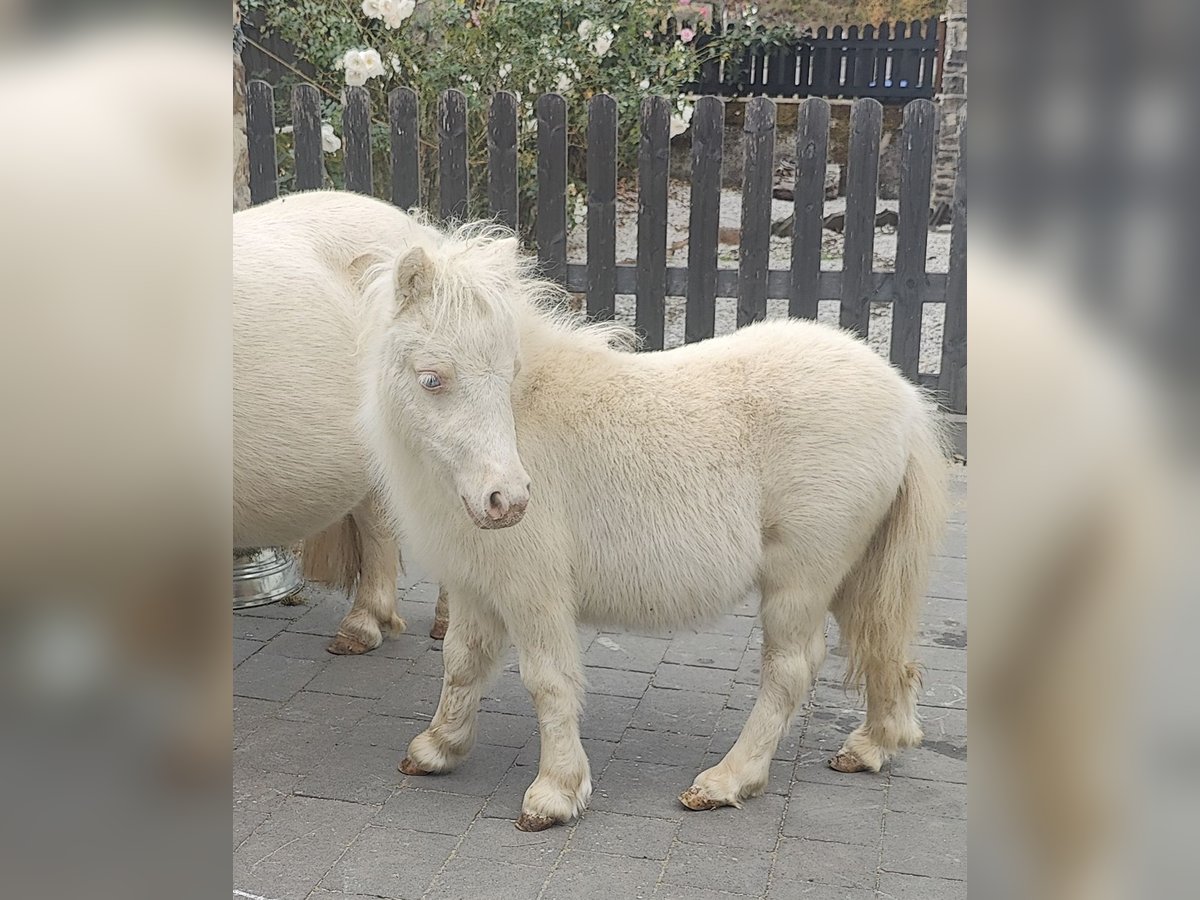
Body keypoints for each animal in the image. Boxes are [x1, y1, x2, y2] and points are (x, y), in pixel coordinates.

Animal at [358, 215, 951, 831]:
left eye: (508, 373)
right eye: (432, 379)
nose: (508, 500)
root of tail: (905, 399)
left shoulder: (534, 590)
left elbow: (548, 680)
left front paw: (555, 793)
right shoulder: (474, 584)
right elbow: (461, 663)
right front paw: (438, 749)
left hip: (802, 580)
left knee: (791, 669)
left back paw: (727, 780)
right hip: (855, 575)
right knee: (880, 644)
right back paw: (872, 746)